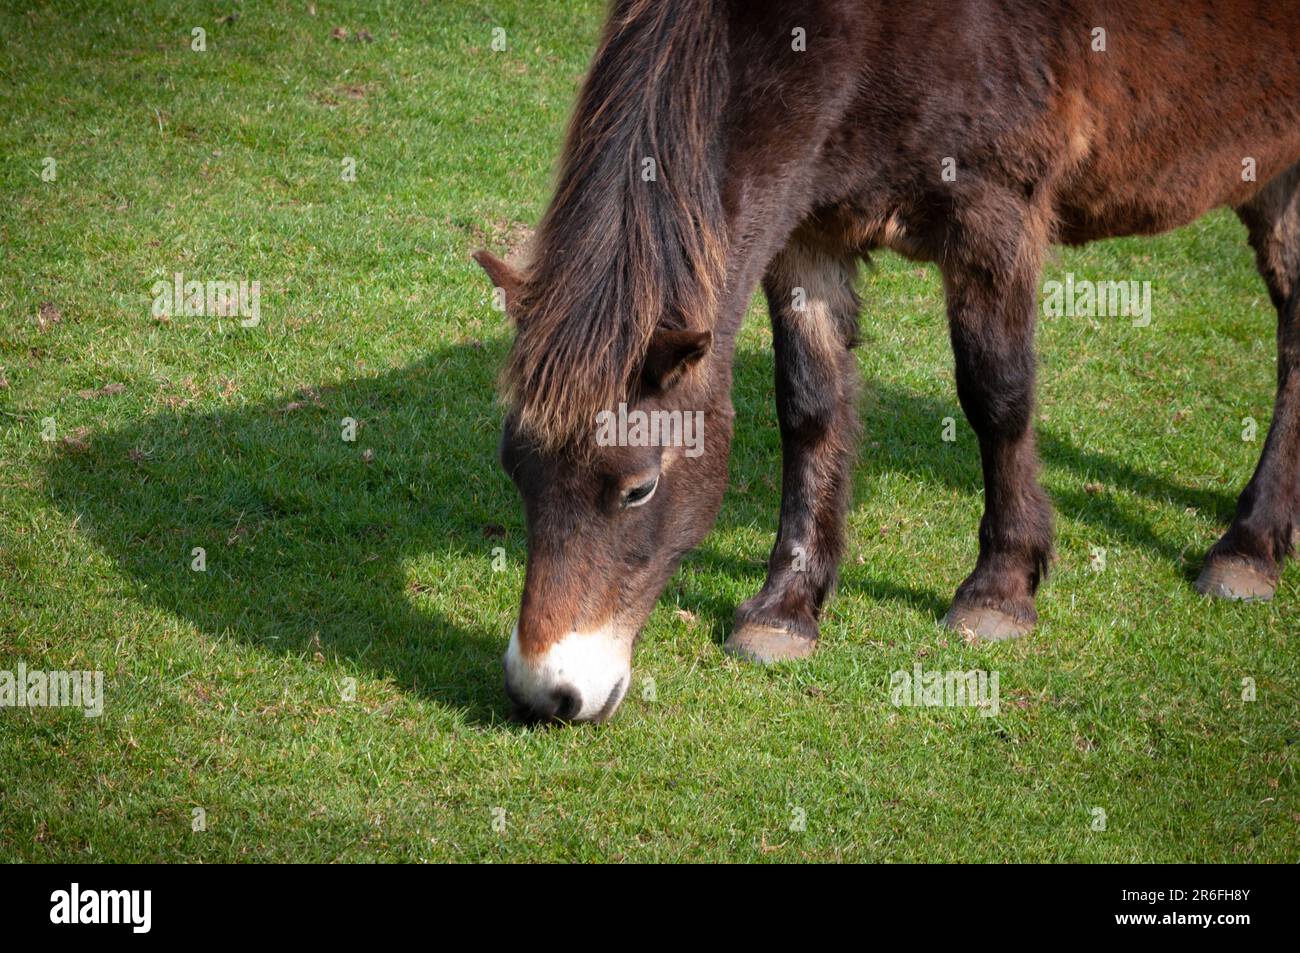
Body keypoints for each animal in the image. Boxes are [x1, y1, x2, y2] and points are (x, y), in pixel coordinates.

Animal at [475, 0, 1300, 722]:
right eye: (514, 469)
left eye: (639, 489)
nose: (547, 692)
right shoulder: (808, 233)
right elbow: (810, 406)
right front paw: (787, 606)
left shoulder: (993, 213)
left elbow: (996, 396)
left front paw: (1000, 589)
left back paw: (1249, 545)